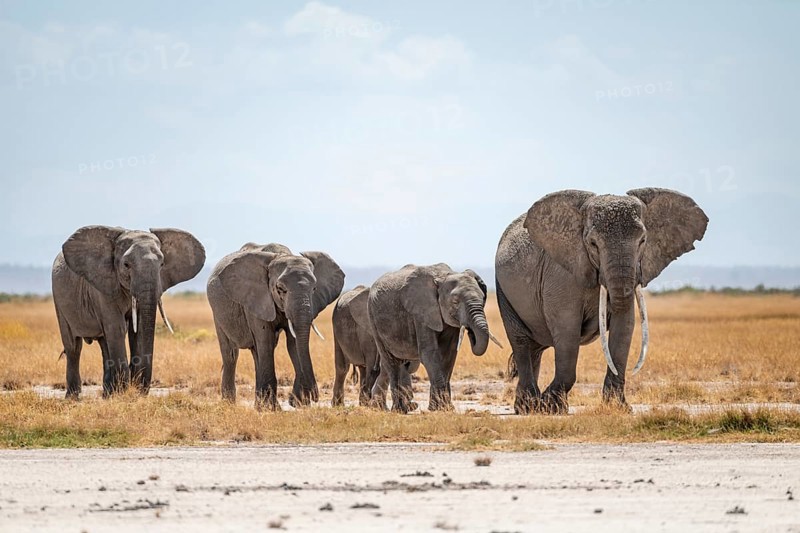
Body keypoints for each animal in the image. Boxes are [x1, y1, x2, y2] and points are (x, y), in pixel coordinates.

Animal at [52, 225, 206, 398]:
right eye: (126, 265)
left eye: (162, 264)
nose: (139, 388)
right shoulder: (103, 287)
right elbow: (117, 328)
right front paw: (124, 392)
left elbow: (137, 330)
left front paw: (128, 390)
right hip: (59, 299)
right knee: (73, 346)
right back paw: (73, 396)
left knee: (104, 344)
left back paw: (108, 393)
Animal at [207, 243, 344, 409]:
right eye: (280, 289)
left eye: (314, 289)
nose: (315, 396)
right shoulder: (256, 299)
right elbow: (265, 340)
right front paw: (273, 409)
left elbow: (293, 343)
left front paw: (299, 403)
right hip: (217, 312)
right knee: (231, 354)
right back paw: (230, 404)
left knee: (256, 353)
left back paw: (258, 405)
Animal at [368, 263, 503, 413]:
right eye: (455, 302)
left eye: (483, 298)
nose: (470, 332)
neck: (444, 277)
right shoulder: (421, 313)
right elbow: (429, 354)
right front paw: (442, 408)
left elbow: (449, 354)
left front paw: (442, 408)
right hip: (373, 319)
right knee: (391, 362)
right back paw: (399, 410)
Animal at [495, 188, 708, 414]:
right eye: (593, 244)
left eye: (642, 241)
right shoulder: (562, 272)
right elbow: (566, 328)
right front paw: (551, 406)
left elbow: (624, 326)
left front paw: (619, 408)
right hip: (503, 291)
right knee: (521, 343)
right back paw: (530, 407)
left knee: (534, 350)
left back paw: (528, 407)